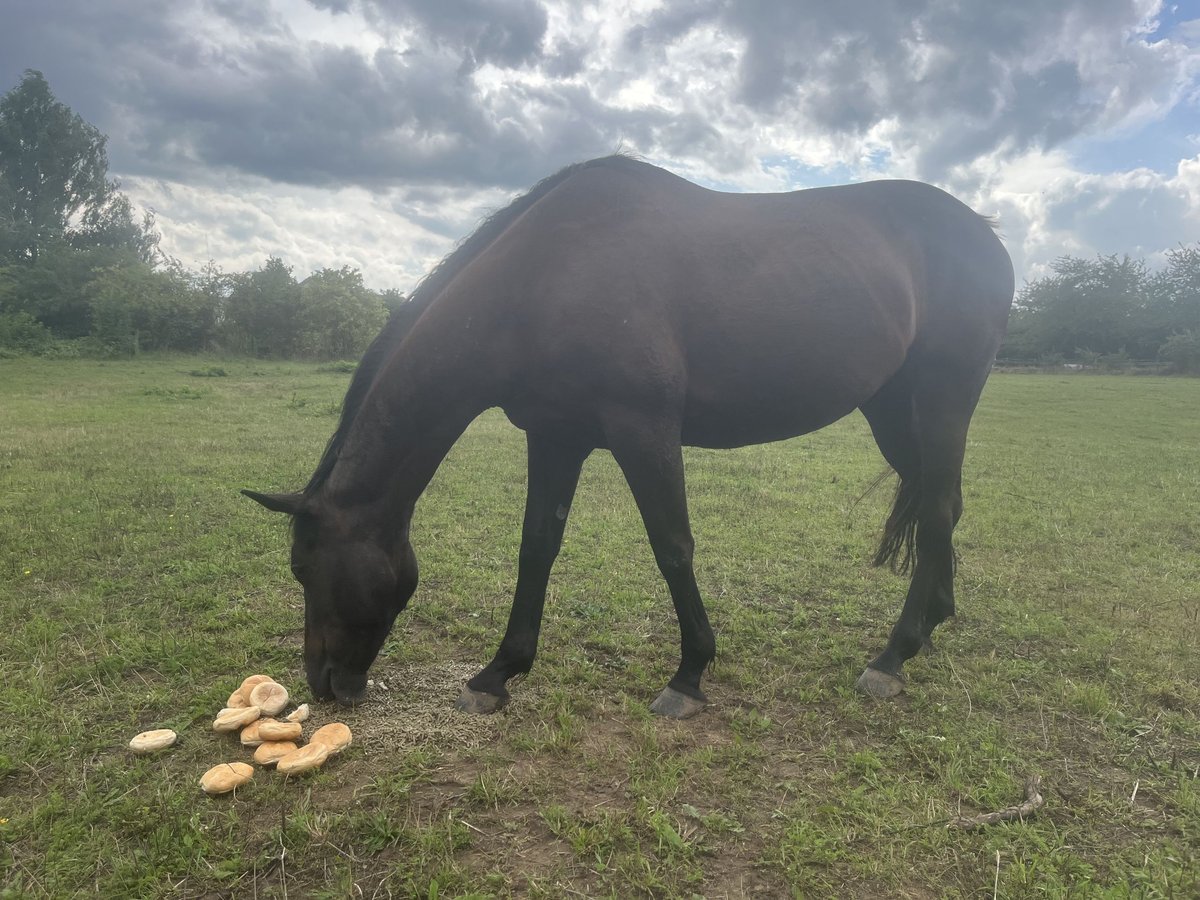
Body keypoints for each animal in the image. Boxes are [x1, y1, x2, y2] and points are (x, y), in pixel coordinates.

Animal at [244, 154, 1014, 719]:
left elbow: (672, 546)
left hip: (943, 399)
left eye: (304, 567)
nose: (323, 683)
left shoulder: (644, 429)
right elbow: (537, 547)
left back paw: (892, 657)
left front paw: (689, 674)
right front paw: (497, 673)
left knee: (939, 508)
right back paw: (931, 624)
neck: (544, 279)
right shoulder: (555, 435)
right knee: (942, 506)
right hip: (891, 411)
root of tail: (986, 235)